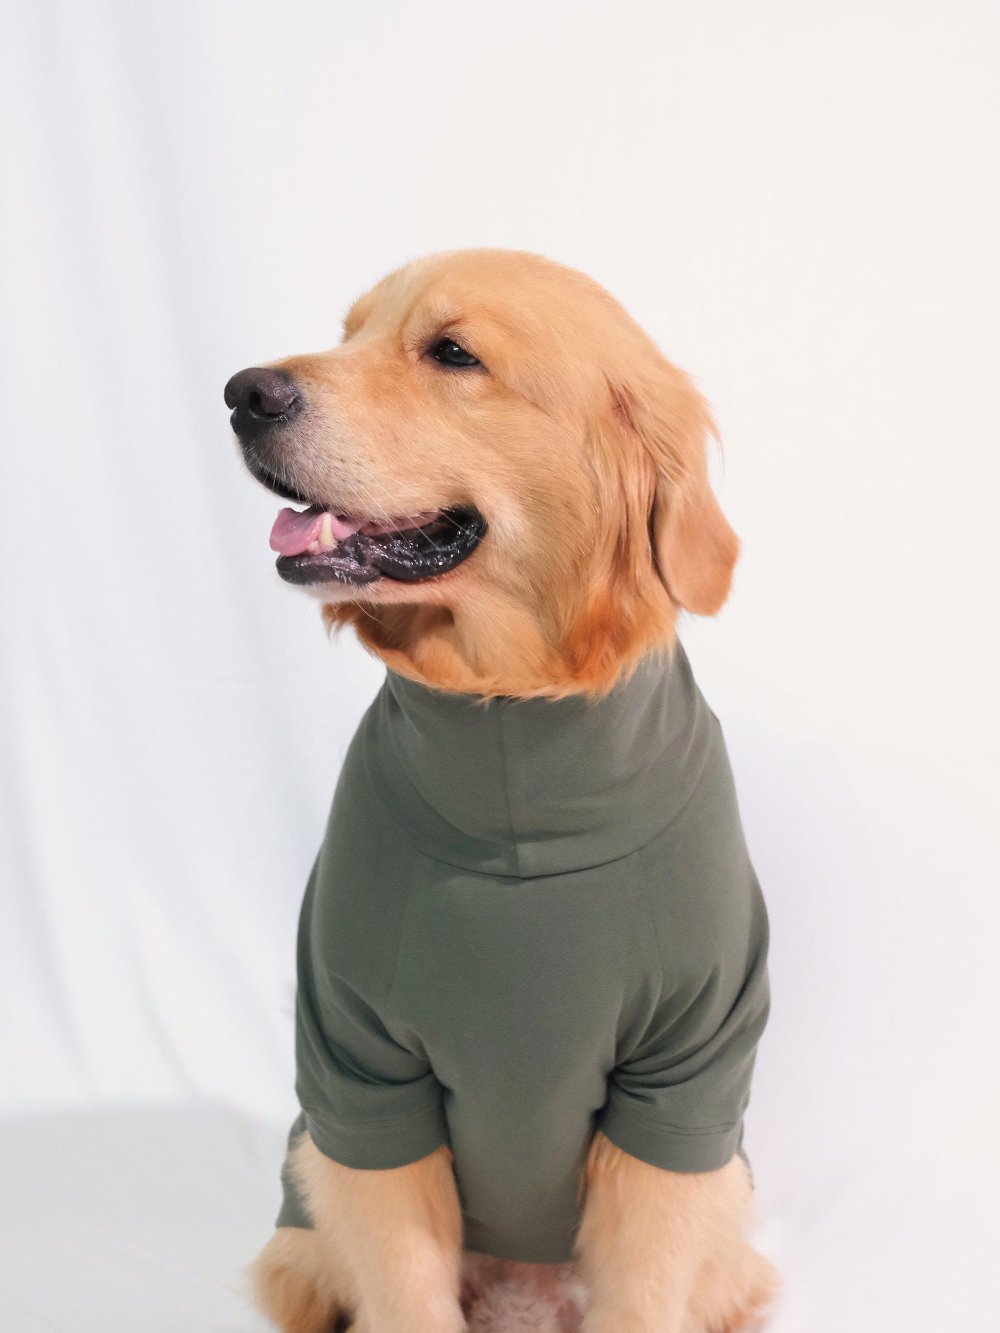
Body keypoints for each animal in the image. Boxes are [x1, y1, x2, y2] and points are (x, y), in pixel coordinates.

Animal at [222, 251, 778, 1333]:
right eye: (349, 332)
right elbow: (404, 1285)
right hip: (301, 1227)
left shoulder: (684, 1083)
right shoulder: (362, 1078)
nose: (243, 393)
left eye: (452, 353)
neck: (514, 743)